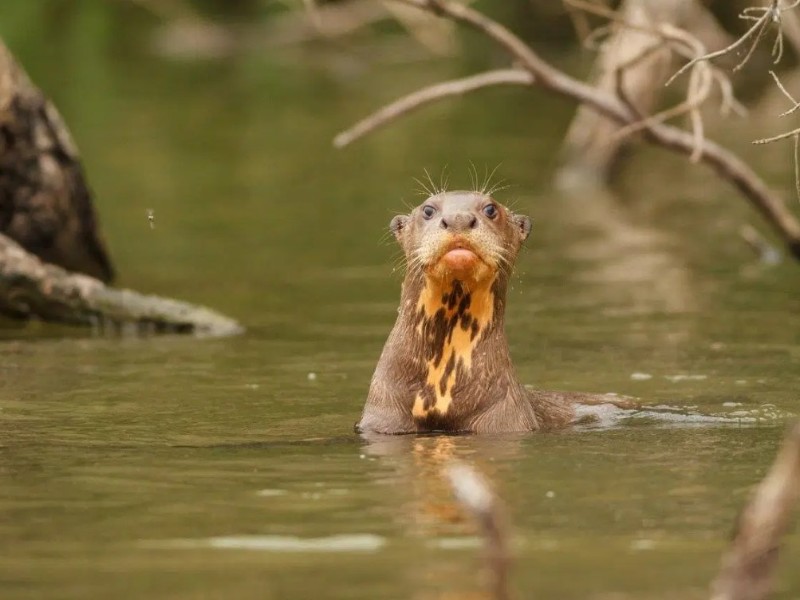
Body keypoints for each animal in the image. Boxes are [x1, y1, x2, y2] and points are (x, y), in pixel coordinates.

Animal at [358, 190, 627, 435]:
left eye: (490, 209)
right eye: (428, 210)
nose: (458, 218)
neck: (442, 393)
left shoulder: (503, 420)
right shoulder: (384, 419)